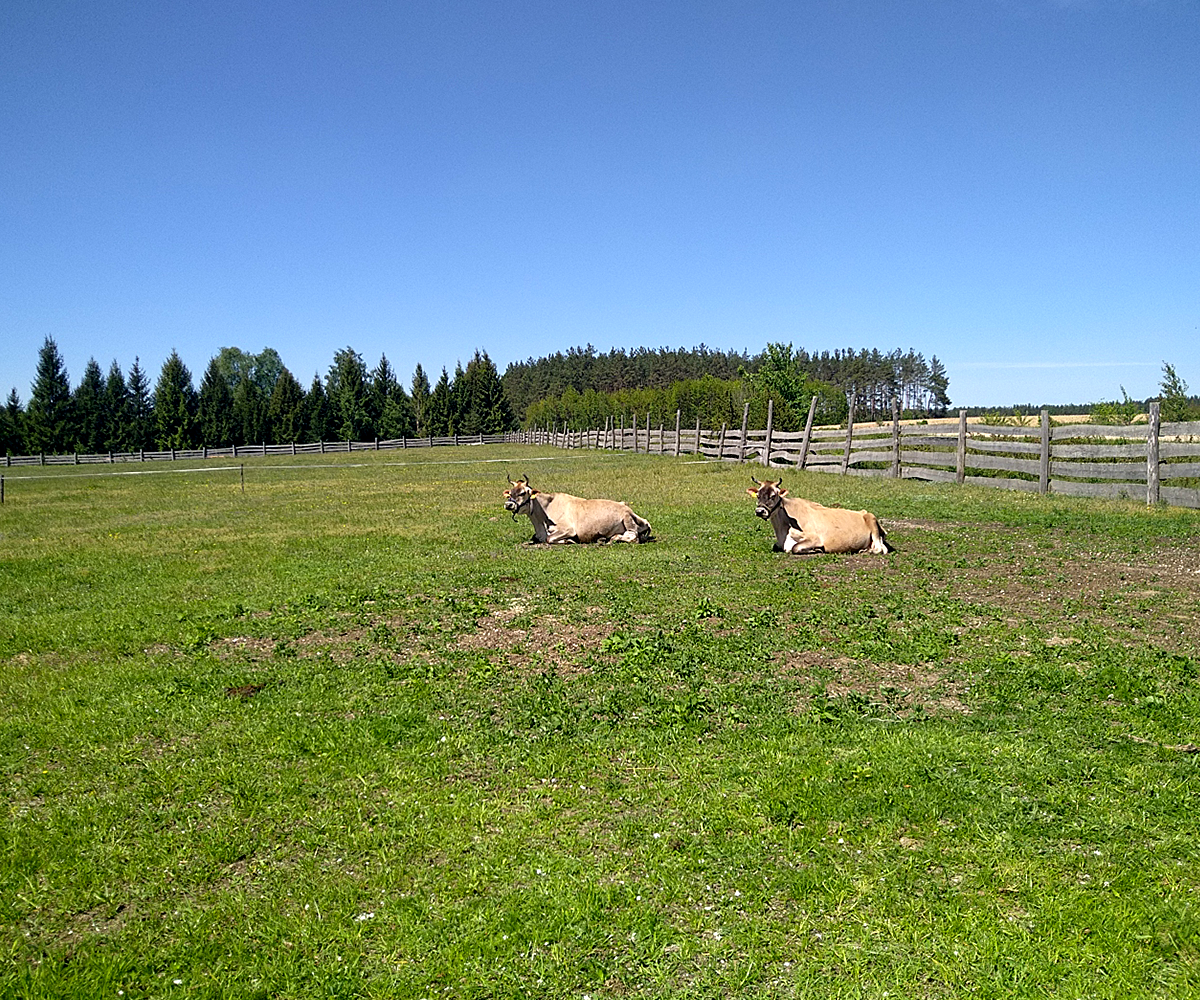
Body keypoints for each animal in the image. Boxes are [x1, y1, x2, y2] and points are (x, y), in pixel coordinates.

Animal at [503, 475, 653, 544]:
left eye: (523, 493)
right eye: (510, 493)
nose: (508, 504)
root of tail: (627, 507)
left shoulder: (568, 529)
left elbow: (550, 538)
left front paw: (569, 541)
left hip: (627, 520)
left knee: (633, 536)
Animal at [747, 476, 892, 555]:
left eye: (773, 495)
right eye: (758, 495)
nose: (760, 511)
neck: (783, 529)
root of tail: (863, 512)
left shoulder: (815, 538)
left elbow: (795, 547)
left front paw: (816, 550)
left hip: (872, 521)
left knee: (880, 549)